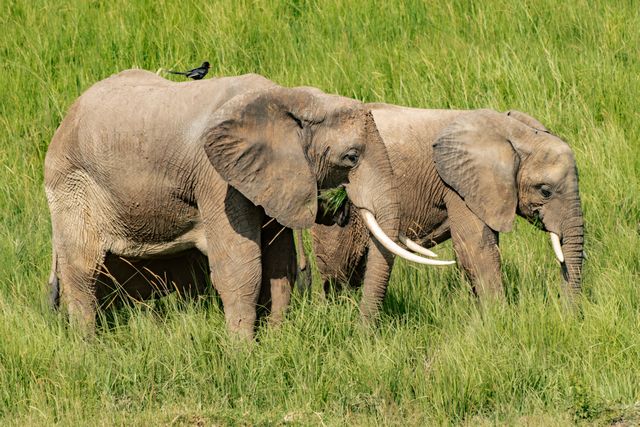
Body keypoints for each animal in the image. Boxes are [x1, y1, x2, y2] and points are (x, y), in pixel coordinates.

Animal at [45, 70, 452, 340]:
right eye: (351, 158)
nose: (361, 332)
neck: (290, 99)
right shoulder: (217, 178)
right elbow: (242, 266)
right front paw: (243, 352)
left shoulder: (272, 176)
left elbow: (280, 262)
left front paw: (276, 341)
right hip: (72, 184)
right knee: (83, 266)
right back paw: (88, 346)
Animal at [310, 106, 584, 308]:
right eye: (545, 191)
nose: (568, 315)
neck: (516, 134)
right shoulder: (457, 184)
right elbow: (475, 248)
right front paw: (500, 319)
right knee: (338, 266)